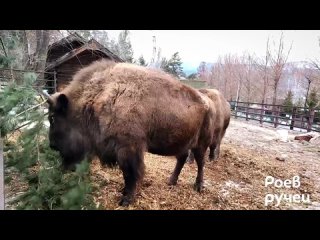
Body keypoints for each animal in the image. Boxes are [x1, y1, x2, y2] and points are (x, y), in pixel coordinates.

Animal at [44, 60, 215, 206]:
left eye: (52, 118)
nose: (52, 145)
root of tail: (209, 103)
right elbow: (128, 174)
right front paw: (125, 193)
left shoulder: (129, 149)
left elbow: (130, 173)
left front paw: (126, 200)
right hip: (182, 143)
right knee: (182, 158)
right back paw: (171, 181)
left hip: (201, 144)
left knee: (201, 163)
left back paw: (198, 186)